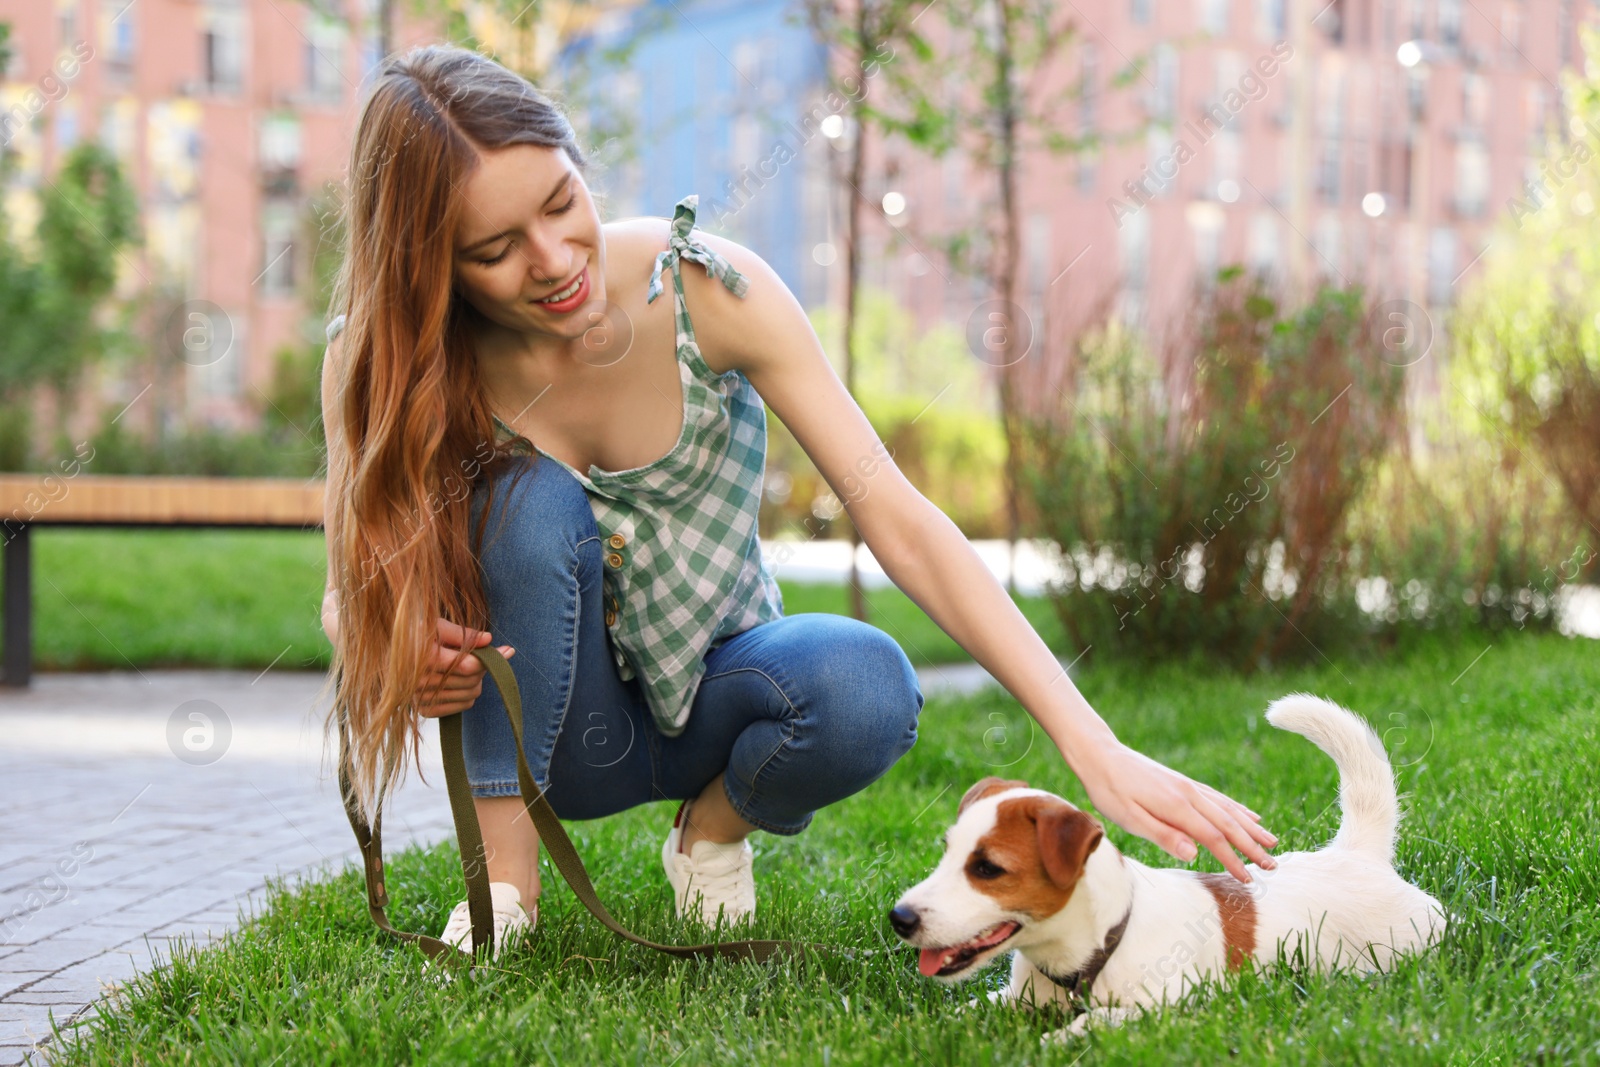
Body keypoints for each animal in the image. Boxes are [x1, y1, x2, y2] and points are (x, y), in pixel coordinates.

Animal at [889, 697, 1452, 1036]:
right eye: (946, 853)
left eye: (987, 868)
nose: (899, 918)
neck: (1100, 943)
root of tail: (1355, 853)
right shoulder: (1016, 995)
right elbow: (975, 1007)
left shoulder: (1164, 1006)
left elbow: (1092, 1024)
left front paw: (1057, 1041)